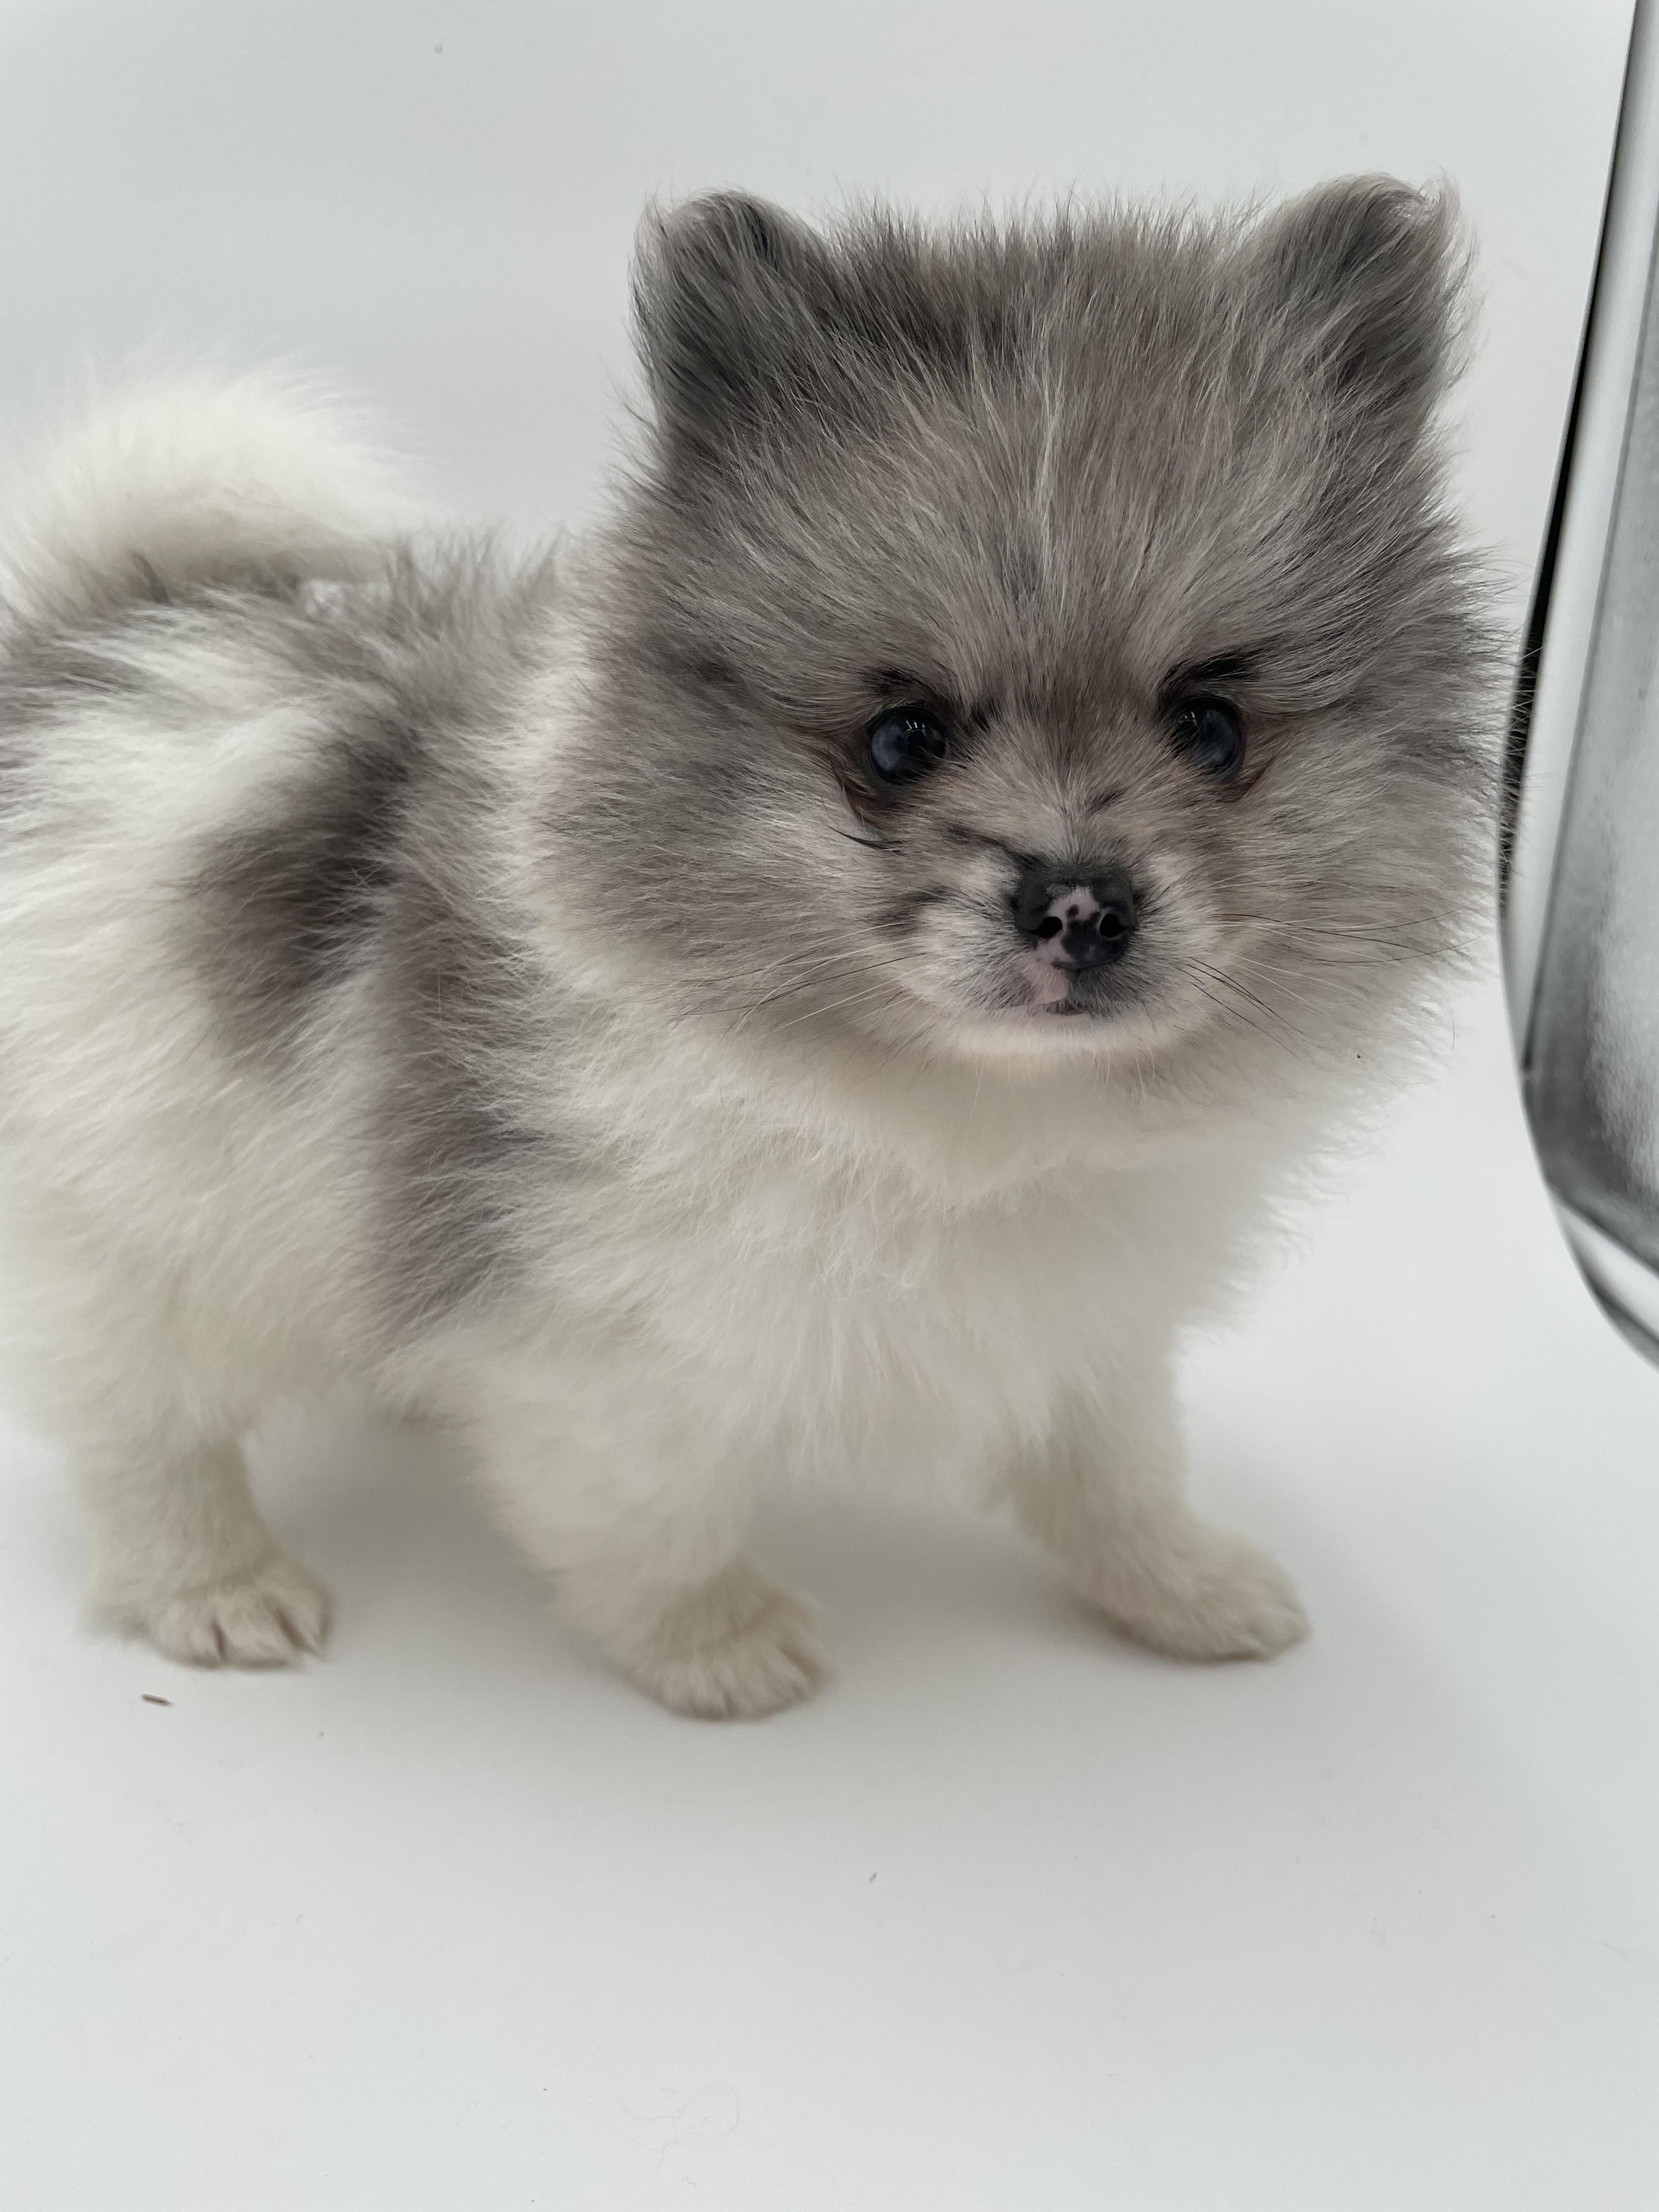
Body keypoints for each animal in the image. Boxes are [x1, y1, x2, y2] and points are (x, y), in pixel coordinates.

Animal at [0, 180, 1494, 1715]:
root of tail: (95, 649)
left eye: (1211, 729)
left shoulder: (1086, 1324)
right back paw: (218, 1584)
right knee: (140, 1430)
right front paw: (719, 1644)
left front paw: (1189, 1588)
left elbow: (1116, 1470)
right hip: (124, 1226)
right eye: (900, 741)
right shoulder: (600, 1345)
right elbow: (644, 1517)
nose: (1080, 903)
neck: (969, 1114)